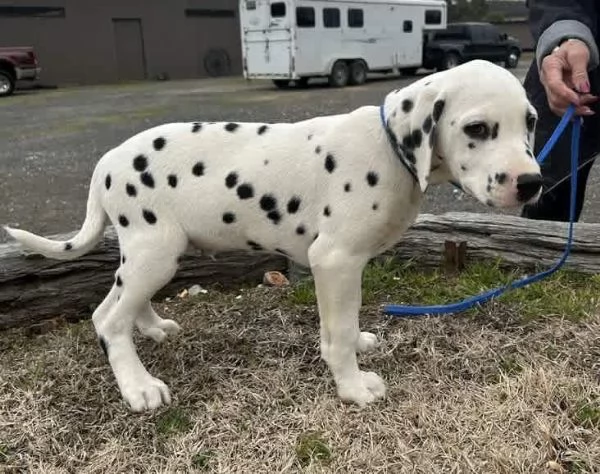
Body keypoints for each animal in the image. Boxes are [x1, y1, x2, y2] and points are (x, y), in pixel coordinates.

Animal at [2, 59, 540, 412]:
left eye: (531, 121)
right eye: (477, 128)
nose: (531, 183)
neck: (391, 150)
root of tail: (105, 163)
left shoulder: (343, 268)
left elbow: (341, 326)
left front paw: (354, 348)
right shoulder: (335, 260)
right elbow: (337, 335)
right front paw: (353, 388)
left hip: (151, 255)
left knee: (121, 302)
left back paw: (153, 328)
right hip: (155, 251)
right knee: (106, 319)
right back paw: (139, 387)